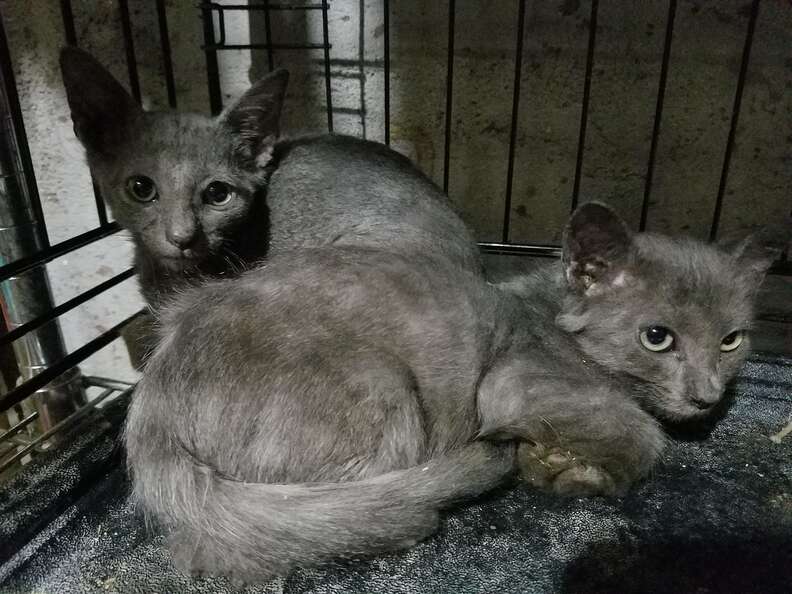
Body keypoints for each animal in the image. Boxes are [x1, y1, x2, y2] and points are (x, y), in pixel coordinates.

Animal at [124, 202, 772, 580]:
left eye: (732, 339)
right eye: (657, 337)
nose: (708, 395)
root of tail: (153, 402)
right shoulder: (512, 386)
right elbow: (645, 434)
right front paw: (567, 468)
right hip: (382, 391)